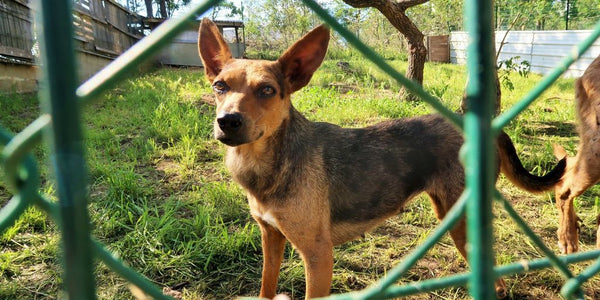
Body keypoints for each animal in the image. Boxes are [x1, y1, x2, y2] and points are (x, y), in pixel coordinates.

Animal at [199, 18, 564, 298]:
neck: (271, 162)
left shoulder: (318, 255)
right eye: (220, 86)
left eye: (267, 91)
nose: (228, 122)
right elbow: (266, 286)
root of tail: (486, 126)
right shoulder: (270, 237)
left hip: (462, 218)